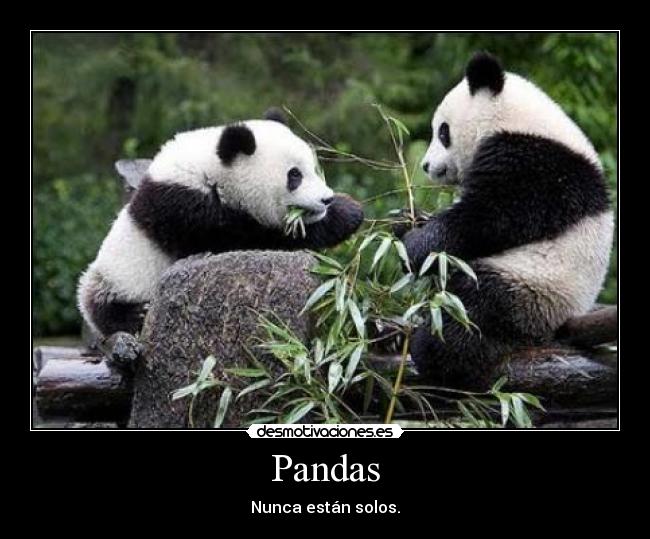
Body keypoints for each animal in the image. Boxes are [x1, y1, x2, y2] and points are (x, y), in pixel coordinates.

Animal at [78, 109, 364, 339]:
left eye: (314, 169)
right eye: (295, 175)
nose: (326, 199)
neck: (211, 170)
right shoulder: (186, 210)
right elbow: (253, 238)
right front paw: (347, 213)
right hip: (117, 280)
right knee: (110, 309)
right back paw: (136, 314)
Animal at [401, 52, 614, 388]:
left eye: (443, 132)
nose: (426, 165)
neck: (514, 119)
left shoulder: (536, 166)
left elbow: (489, 218)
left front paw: (414, 245)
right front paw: (406, 221)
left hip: (533, 287)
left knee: (475, 309)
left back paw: (432, 351)